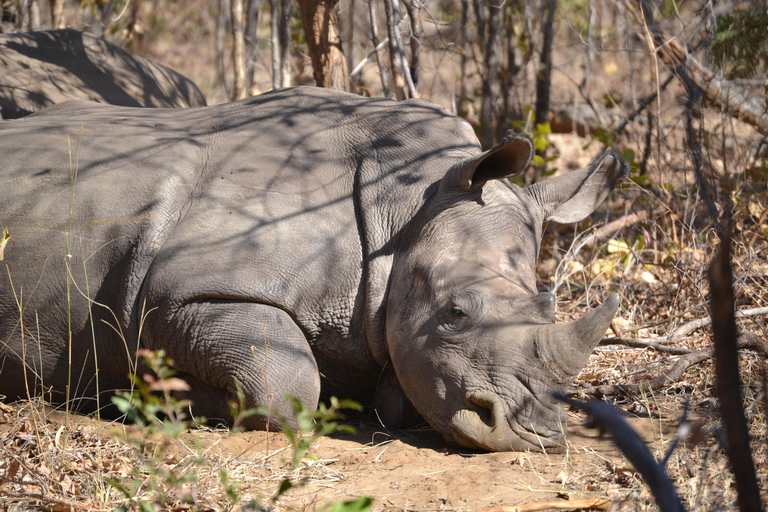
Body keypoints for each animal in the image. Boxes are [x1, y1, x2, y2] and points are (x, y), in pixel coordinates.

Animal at [0, 87, 624, 452]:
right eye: (454, 312)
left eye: (548, 304)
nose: (534, 435)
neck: (406, 207)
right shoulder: (175, 292)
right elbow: (288, 385)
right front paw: (168, 403)